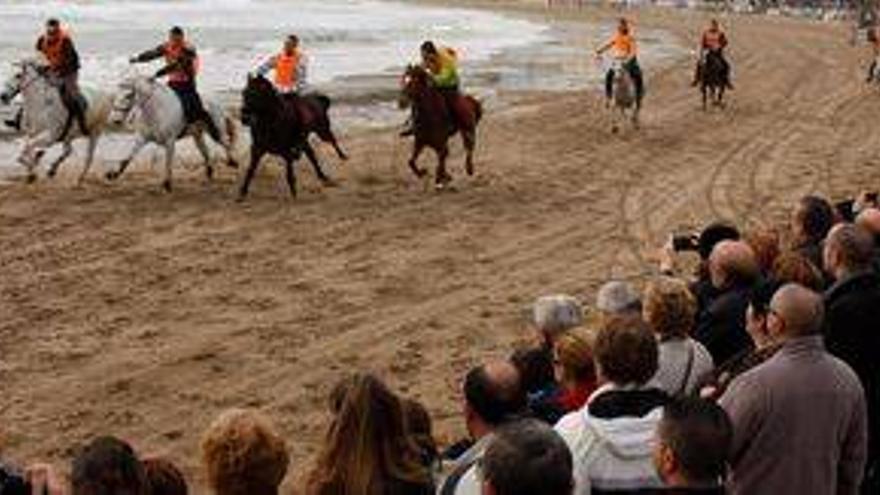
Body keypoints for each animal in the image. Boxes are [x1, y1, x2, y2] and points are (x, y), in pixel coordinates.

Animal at [0, 56, 113, 184]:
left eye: (18, 75)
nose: (3, 96)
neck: (39, 105)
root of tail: (107, 94)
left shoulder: (49, 136)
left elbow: (27, 147)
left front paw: (32, 167)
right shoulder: (31, 133)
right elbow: (24, 148)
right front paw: (32, 169)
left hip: (95, 132)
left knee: (88, 157)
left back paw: (78, 179)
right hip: (69, 134)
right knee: (68, 150)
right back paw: (51, 169)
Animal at [105, 74, 237, 193]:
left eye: (128, 95)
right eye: (116, 94)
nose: (115, 120)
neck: (156, 111)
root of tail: (217, 103)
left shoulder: (169, 142)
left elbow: (168, 163)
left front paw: (167, 184)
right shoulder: (141, 138)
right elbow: (128, 157)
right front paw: (113, 174)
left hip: (215, 129)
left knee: (225, 143)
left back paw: (233, 162)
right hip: (197, 135)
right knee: (205, 151)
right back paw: (210, 172)